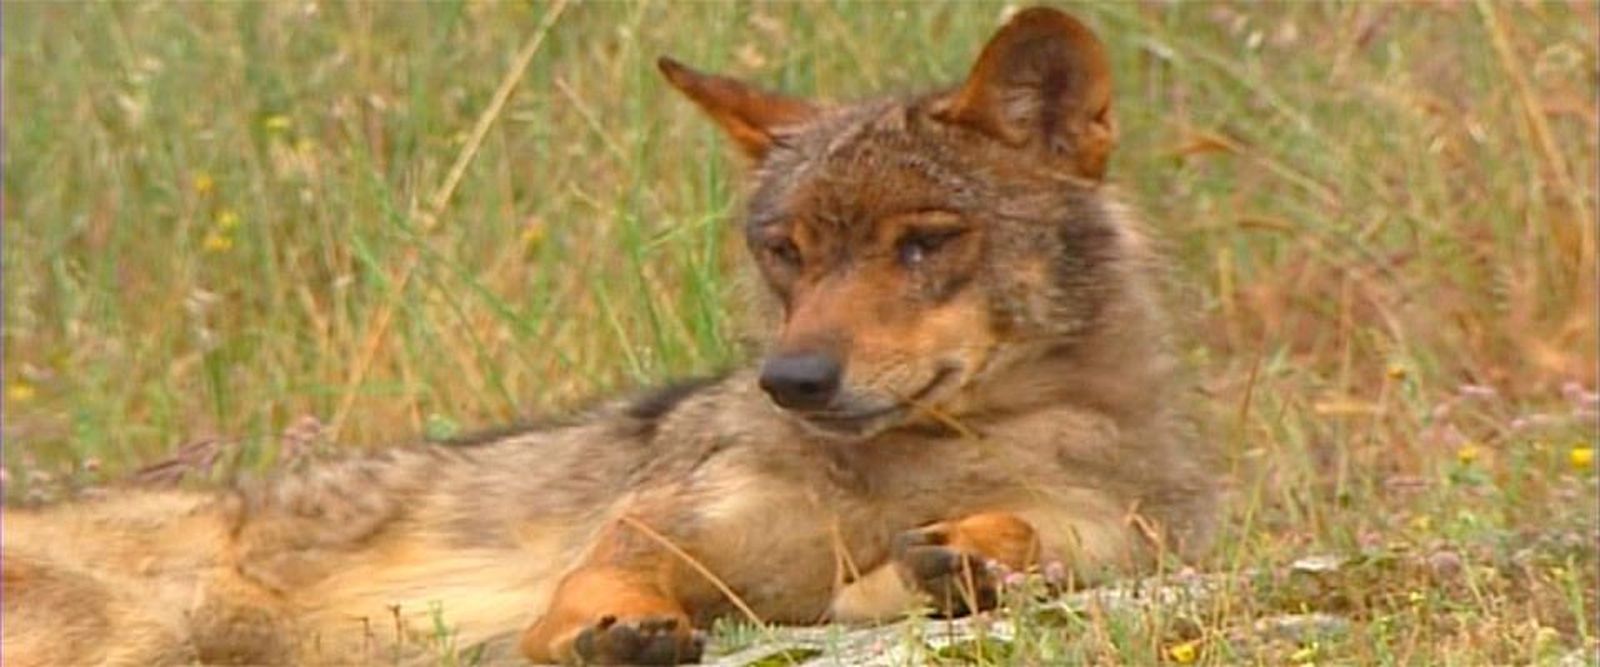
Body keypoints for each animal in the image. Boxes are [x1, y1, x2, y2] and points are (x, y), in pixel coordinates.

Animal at [1, 7, 1217, 665]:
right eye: (785, 251)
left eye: (923, 244)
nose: (791, 380)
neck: (930, 462)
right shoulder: (639, 541)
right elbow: (594, 596)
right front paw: (620, 629)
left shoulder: (1127, 533)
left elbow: (1029, 534)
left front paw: (959, 557)